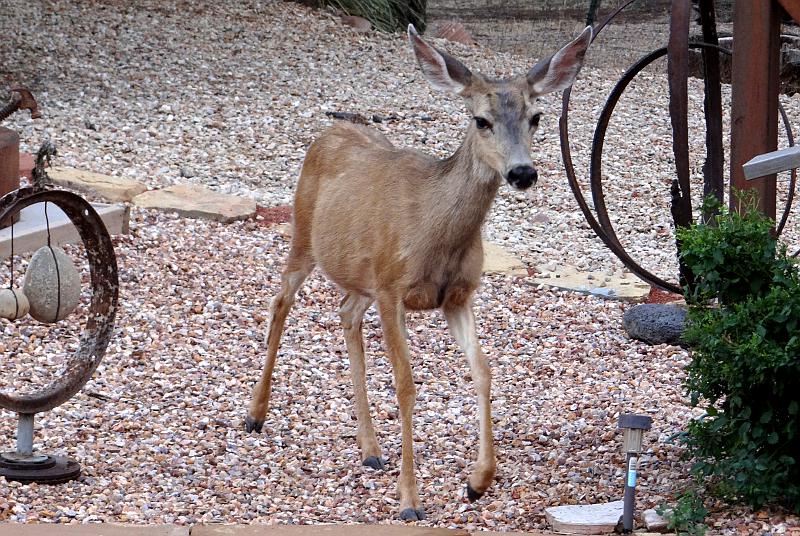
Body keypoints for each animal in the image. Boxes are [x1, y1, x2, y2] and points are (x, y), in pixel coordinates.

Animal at [248, 24, 592, 520]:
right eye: (481, 120)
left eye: (537, 117)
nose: (522, 173)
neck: (435, 233)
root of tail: (332, 127)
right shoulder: (393, 288)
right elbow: (406, 385)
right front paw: (410, 500)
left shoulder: (457, 295)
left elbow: (483, 370)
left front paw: (478, 481)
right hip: (303, 235)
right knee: (281, 301)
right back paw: (255, 414)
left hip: (361, 274)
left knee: (345, 311)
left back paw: (370, 449)